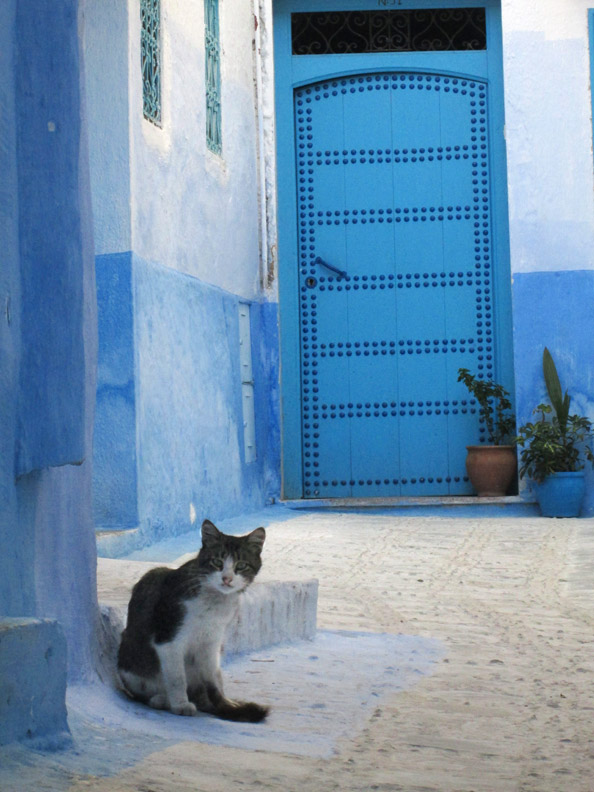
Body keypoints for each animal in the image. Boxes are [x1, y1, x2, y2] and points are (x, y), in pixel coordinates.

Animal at [116, 520, 268, 724]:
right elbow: (176, 677)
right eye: (217, 562)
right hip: (131, 661)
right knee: (144, 691)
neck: (214, 601)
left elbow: (213, 679)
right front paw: (180, 704)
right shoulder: (168, 638)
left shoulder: (212, 641)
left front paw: (226, 703)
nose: (227, 579)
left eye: (241, 565)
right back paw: (162, 699)